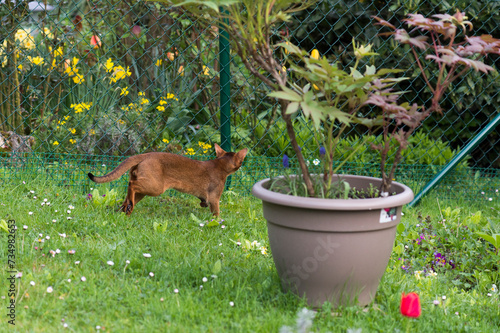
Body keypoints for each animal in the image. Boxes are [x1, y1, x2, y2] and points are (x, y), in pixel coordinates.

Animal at [89, 144, 248, 217]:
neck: (219, 164)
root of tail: (146, 154)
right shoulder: (214, 198)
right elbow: (216, 214)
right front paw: (218, 223)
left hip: (145, 188)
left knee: (127, 196)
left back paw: (126, 209)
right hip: (156, 187)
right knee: (131, 185)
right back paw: (129, 208)